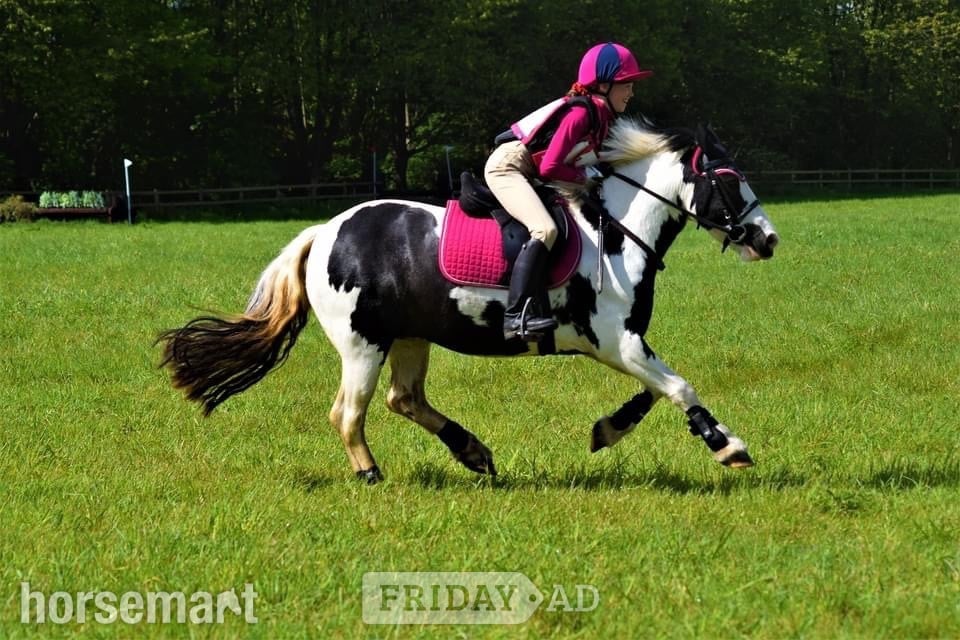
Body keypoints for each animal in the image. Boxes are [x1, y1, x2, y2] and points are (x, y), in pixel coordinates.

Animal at [158, 119, 780, 484]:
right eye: (730, 181)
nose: (768, 239)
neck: (617, 231)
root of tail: (323, 232)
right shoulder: (615, 341)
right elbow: (679, 387)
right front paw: (728, 447)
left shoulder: (624, 343)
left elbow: (653, 393)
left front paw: (607, 431)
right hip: (363, 344)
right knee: (349, 412)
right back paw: (372, 475)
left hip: (410, 337)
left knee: (403, 399)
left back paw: (474, 453)